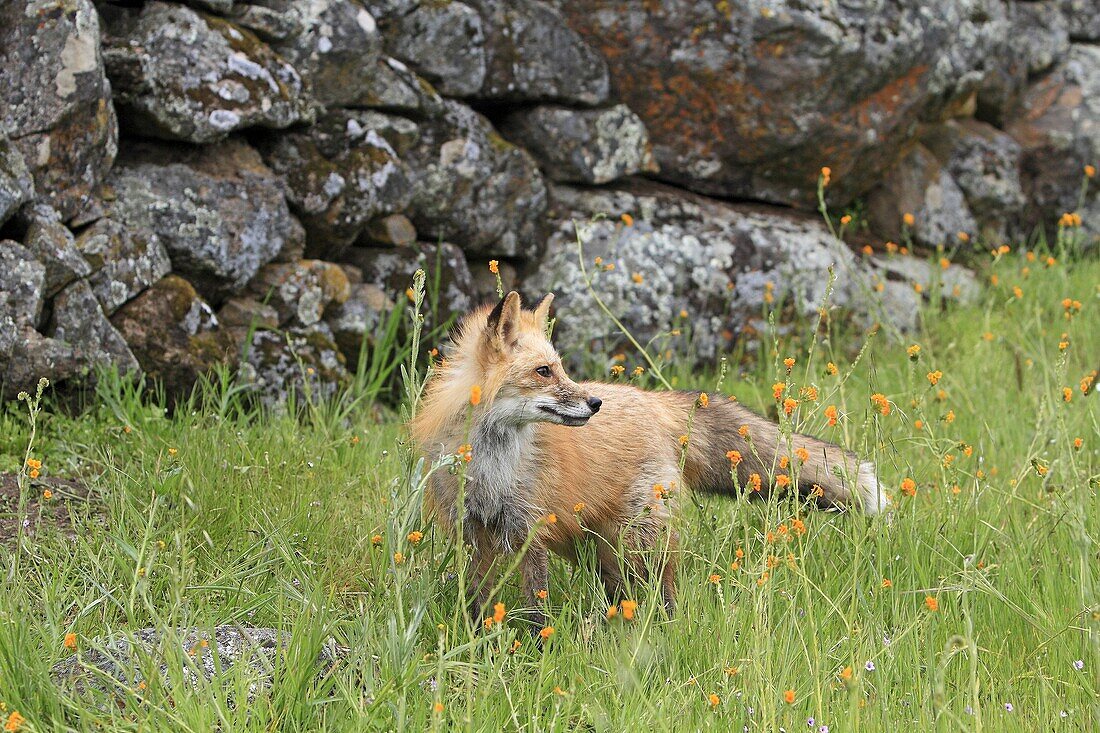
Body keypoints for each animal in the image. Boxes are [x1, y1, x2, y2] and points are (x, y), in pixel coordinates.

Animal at [411, 288, 884, 625]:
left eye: (560, 368)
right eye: (543, 371)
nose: (595, 403)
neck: (490, 465)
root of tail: (652, 400)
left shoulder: (530, 529)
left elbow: (536, 609)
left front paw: (536, 648)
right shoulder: (472, 532)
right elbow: (477, 602)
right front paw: (477, 643)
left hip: (639, 542)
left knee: (664, 592)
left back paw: (665, 632)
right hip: (599, 549)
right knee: (622, 594)